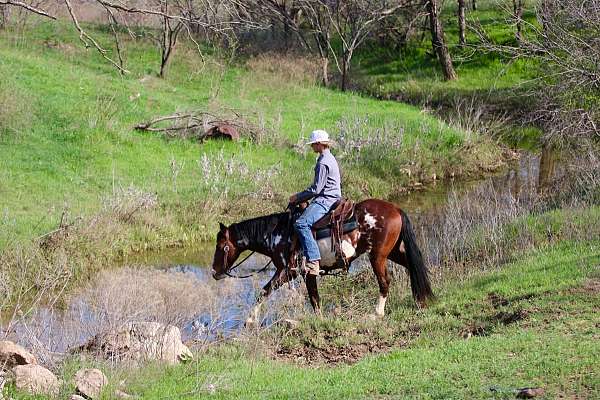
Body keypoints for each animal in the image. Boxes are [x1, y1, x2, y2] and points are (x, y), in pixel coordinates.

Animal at [213, 198, 434, 324]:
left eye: (222, 246)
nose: (214, 272)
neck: (279, 233)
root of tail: (395, 209)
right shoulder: (303, 273)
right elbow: (314, 298)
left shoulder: (288, 271)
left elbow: (266, 292)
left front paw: (250, 320)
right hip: (393, 252)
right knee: (414, 266)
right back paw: (421, 300)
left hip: (377, 256)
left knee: (385, 281)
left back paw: (377, 313)